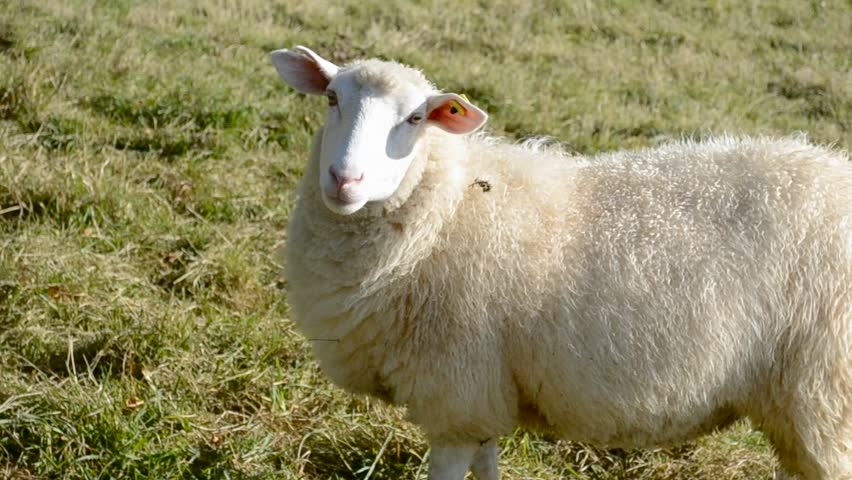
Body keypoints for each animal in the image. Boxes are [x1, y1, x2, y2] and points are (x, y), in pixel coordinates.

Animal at [269, 45, 852, 480]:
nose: (344, 180)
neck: (447, 208)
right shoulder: (484, 394)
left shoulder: (454, 394)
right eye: (331, 98)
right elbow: (488, 464)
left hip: (825, 396)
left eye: (415, 119)